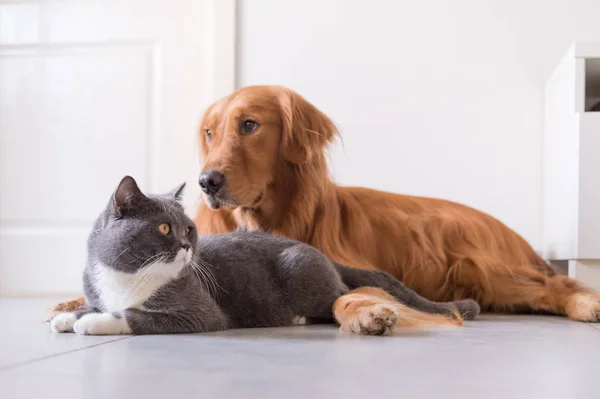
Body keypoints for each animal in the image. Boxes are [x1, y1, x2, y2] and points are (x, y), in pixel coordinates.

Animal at [49, 177, 478, 336]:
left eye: (188, 229)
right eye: (165, 229)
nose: (187, 246)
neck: (127, 275)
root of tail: (321, 254)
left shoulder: (200, 312)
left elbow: (137, 315)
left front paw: (94, 322)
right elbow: (94, 303)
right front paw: (68, 315)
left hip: (301, 271)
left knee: (338, 298)